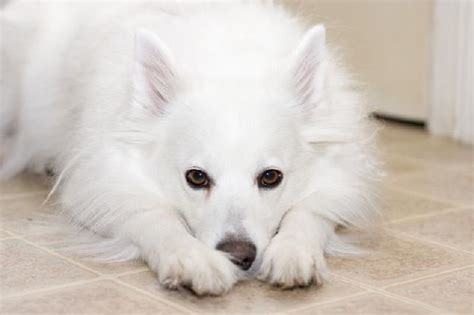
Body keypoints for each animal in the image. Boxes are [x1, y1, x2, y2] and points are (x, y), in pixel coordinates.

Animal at [0, 1, 378, 296]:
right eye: (196, 178)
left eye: (271, 177)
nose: (239, 255)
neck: (229, 62)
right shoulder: (105, 186)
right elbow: (156, 218)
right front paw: (192, 258)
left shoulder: (338, 181)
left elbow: (309, 214)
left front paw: (294, 252)